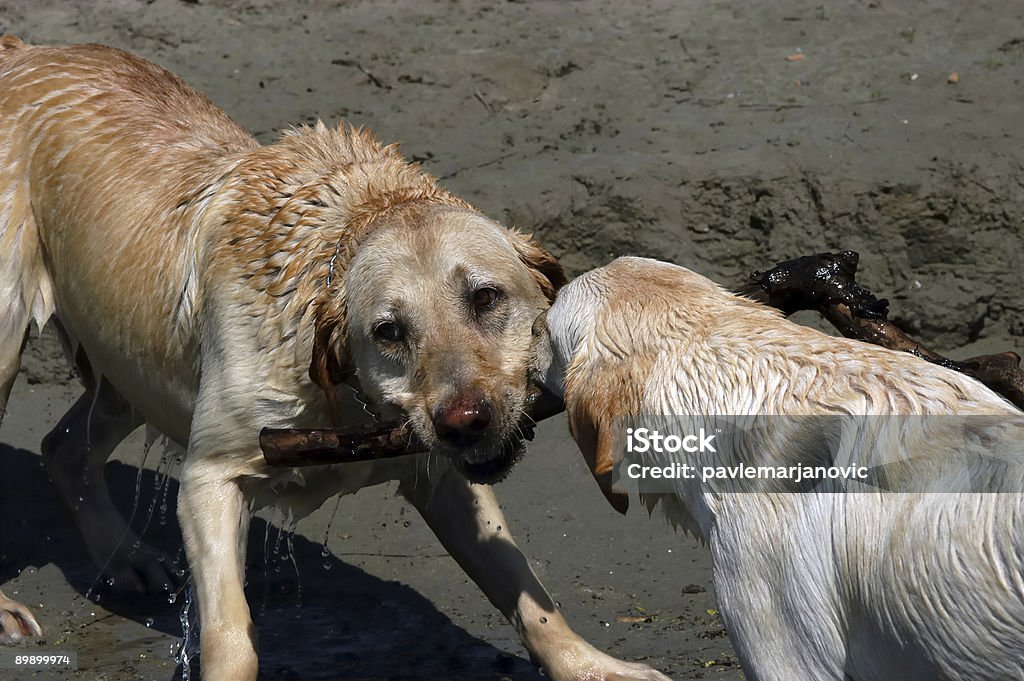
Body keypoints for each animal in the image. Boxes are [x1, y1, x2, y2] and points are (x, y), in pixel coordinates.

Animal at [0, 38, 667, 679]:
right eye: (389, 331)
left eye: (485, 298)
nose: (464, 422)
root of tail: (25, 49)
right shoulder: (210, 479)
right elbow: (230, 635)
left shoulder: (441, 474)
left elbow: (526, 591)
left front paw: (591, 665)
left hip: (132, 361)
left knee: (65, 446)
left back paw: (128, 561)